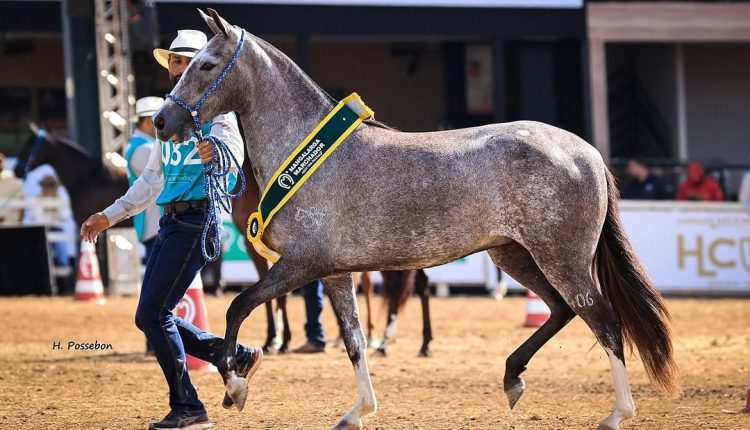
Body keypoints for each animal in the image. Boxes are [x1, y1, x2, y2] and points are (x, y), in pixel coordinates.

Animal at [153, 8, 680, 428]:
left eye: (206, 65)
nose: (161, 121)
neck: (308, 153)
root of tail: (585, 151)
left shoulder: (301, 264)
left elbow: (238, 306)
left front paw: (235, 388)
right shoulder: (335, 272)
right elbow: (354, 341)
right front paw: (358, 412)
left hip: (562, 258)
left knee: (603, 320)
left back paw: (616, 414)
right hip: (513, 254)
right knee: (561, 310)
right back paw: (512, 378)